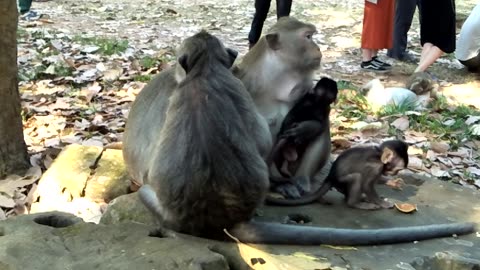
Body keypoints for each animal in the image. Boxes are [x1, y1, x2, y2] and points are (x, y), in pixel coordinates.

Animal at [233, 16, 332, 198]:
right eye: (308, 37)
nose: (318, 47)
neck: (277, 81)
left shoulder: (309, 91)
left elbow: (319, 121)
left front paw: (306, 128)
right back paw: (279, 184)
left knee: (321, 129)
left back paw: (302, 179)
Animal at [274, 140, 408, 210]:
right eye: (398, 170)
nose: (395, 173)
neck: (378, 155)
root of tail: (330, 177)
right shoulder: (376, 167)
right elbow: (367, 185)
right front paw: (382, 203)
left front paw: (392, 182)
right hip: (340, 181)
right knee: (357, 177)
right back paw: (355, 203)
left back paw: (360, 198)